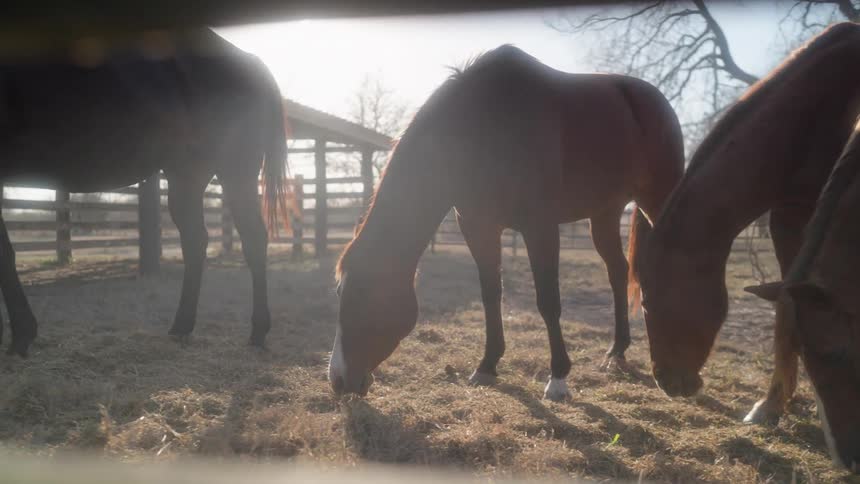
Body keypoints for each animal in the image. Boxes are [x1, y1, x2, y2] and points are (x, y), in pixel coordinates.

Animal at [0, 28, 293, 356]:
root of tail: (251, 62)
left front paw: (21, 335)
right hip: (186, 175)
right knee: (196, 241)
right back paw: (181, 327)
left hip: (235, 169)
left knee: (253, 239)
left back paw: (257, 331)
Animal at [329, 45, 684, 399]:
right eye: (339, 293)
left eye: (364, 294)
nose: (338, 380)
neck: (483, 130)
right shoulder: (477, 227)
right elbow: (491, 294)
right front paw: (487, 365)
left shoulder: (540, 227)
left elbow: (548, 301)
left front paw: (558, 378)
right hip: (604, 214)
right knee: (618, 272)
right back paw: (616, 352)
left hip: (657, 200)